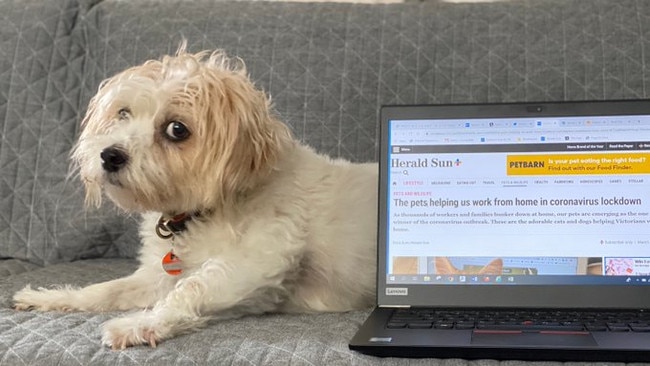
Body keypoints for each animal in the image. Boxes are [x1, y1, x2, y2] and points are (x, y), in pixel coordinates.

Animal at [12, 47, 378, 350]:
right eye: (123, 113)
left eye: (177, 129)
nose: (109, 155)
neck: (204, 212)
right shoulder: (157, 278)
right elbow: (106, 290)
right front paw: (55, 297)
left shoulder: (259, 263)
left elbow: (189, 290)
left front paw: (139, 324)